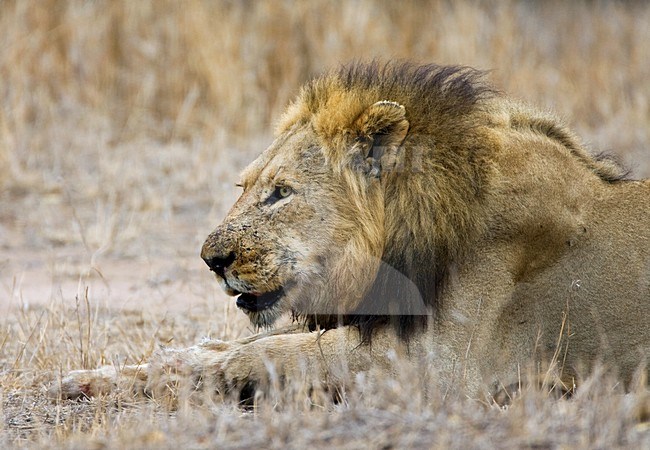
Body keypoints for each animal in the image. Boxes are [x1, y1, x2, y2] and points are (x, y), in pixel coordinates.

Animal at [52, 61, 648, 402]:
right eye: (246, 185)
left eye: (281, 192)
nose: (211, 260)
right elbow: (245, 341)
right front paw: (96, 377)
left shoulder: (443, 367)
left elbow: (267, 352)